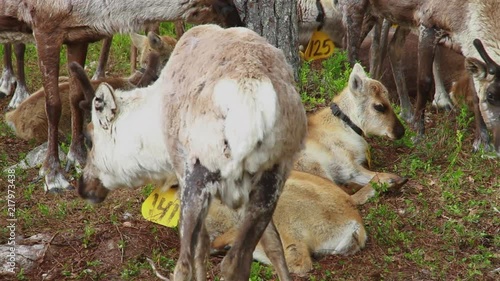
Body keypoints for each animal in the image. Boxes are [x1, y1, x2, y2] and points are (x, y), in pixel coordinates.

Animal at [77, 24, 306, 280]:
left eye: (89, 139)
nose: (83, 187)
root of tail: (251, 95)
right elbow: (274, 244)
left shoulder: (183, 175)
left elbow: (200, 247)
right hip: (272, 178)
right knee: (238, 259)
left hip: (198, 180)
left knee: (184, 263)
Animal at [294, 62, 408, 200]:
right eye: (379, 106)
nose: (401, 131)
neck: (346, 125)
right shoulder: (347, 165)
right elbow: (375, 174)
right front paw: (394, 179)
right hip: (313, 167)